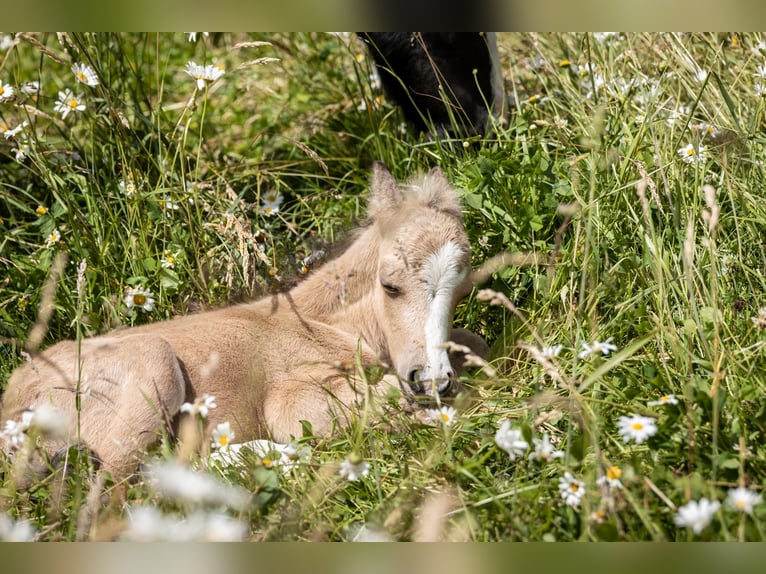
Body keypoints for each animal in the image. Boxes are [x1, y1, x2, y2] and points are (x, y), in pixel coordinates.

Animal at [0, 162, 487, 477]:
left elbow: (475, 344)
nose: (432, 380)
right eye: (390, 285)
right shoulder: (292, 401)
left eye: (462, 289)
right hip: (152, 370)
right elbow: (384, 396)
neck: (327, 323)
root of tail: (12, 405)